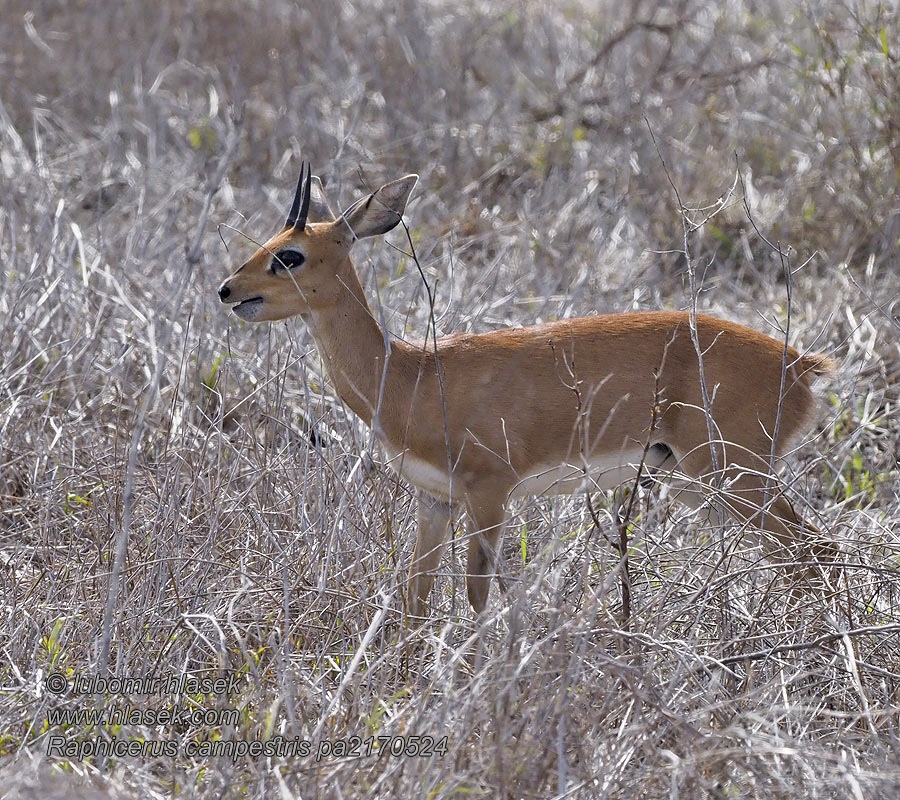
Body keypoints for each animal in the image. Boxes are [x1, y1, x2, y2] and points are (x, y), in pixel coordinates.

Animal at [218, 164, 836, 620]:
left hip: (734, 475)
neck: (411, 376)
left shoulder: (490, 491)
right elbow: (416, 596)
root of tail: (801, 365)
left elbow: (477, 594)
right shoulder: (435, 499)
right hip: (694, 481)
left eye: (289, 256)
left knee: (814, 548)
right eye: (269, 241)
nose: (227, 289)